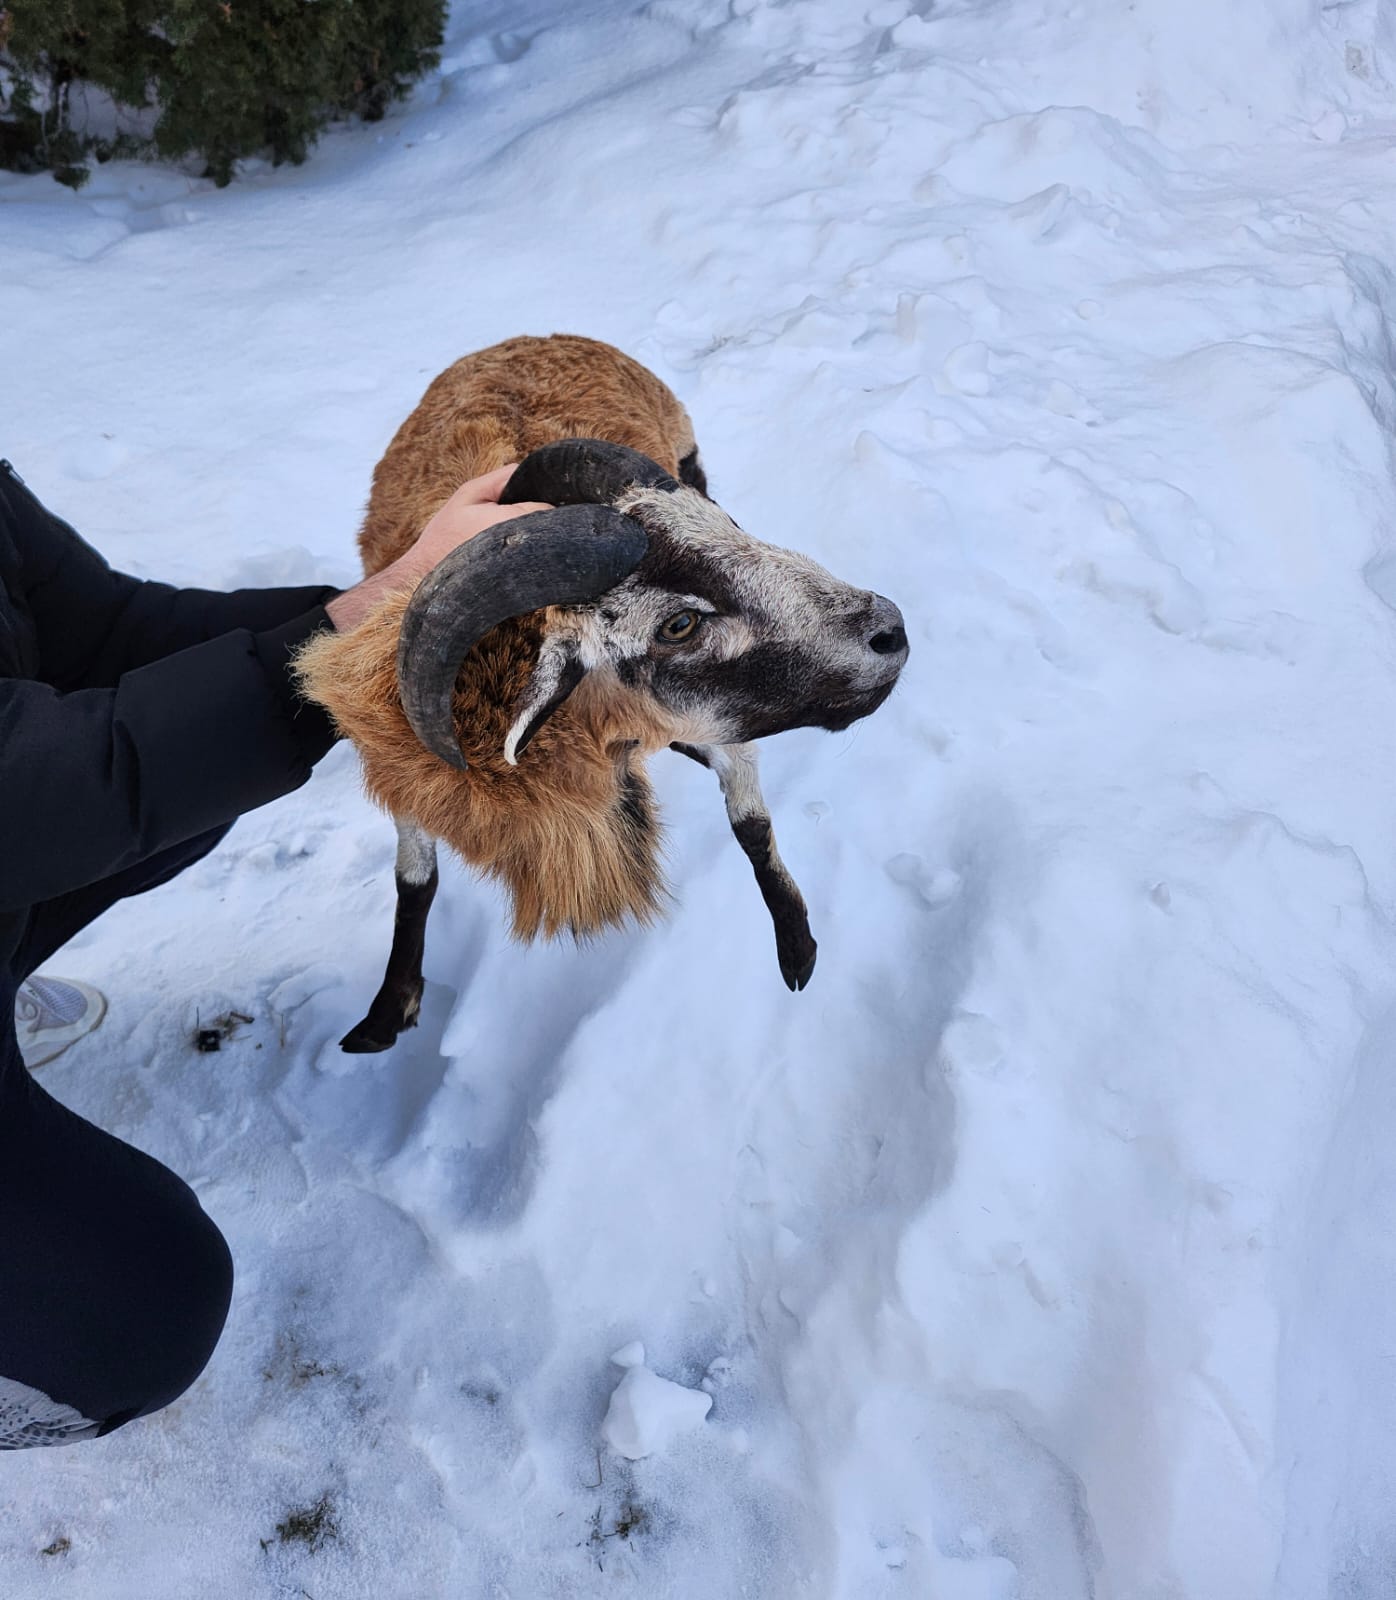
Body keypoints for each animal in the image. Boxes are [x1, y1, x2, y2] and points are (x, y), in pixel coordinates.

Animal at [296, 333, 908, 1052]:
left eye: (729, 528)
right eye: (678, 624)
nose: (889, 632)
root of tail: (529, 337)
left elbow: (752, 824)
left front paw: (797, 947)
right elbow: (414, 877)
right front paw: (387, 1011)